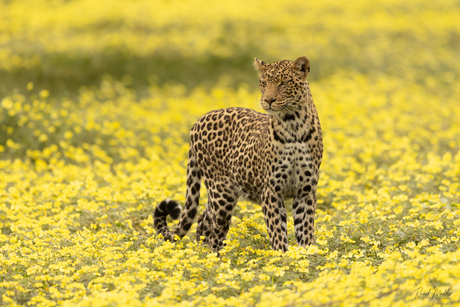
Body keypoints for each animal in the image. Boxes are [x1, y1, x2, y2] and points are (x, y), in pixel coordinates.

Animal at [155, 55, 324, 253]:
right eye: (264, 83)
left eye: (283, 83)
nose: (268, 100)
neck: (294, 125)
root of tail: (198, 121)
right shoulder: (271, 191)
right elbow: (278, 233)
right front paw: (282, 257)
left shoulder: (305, 191)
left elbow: (305, 231)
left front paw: (306, 257)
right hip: (221, 191)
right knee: (215, 232)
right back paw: (214, 257)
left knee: (204, 219)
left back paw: (202, 254)